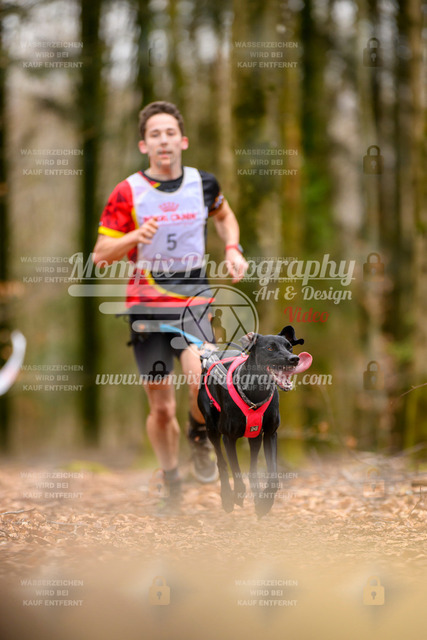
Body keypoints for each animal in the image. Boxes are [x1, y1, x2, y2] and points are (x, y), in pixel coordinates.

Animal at [197, 325, 312, 517]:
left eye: (289, 347)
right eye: (270, 348)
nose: (294, 359)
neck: (256, 391)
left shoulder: (270, 434)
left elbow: (273, 477)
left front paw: (265, 503)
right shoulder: (228, 437)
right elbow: (235, 471)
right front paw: (237, 494)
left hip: (255, 436)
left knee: (252, 469)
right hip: (211, 427)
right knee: (221, 462)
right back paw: (227, 497)